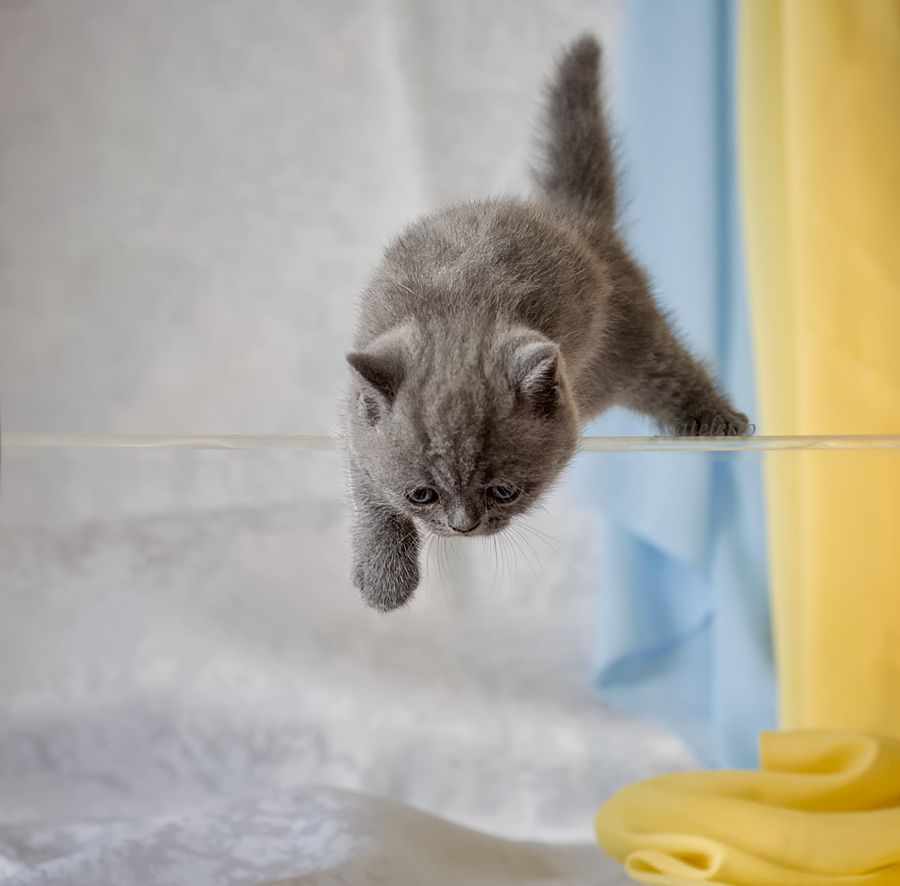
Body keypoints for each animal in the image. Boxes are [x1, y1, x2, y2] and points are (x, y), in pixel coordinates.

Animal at [343, 35, 749, 612]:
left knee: (672, 371)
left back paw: (718, 420)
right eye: (421, 494)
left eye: (505, 491)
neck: (458, 316)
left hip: (630, 342)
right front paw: (384, 578)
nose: (463, 526)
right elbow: (369, 491)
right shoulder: (355, 421)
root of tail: (572, 216)